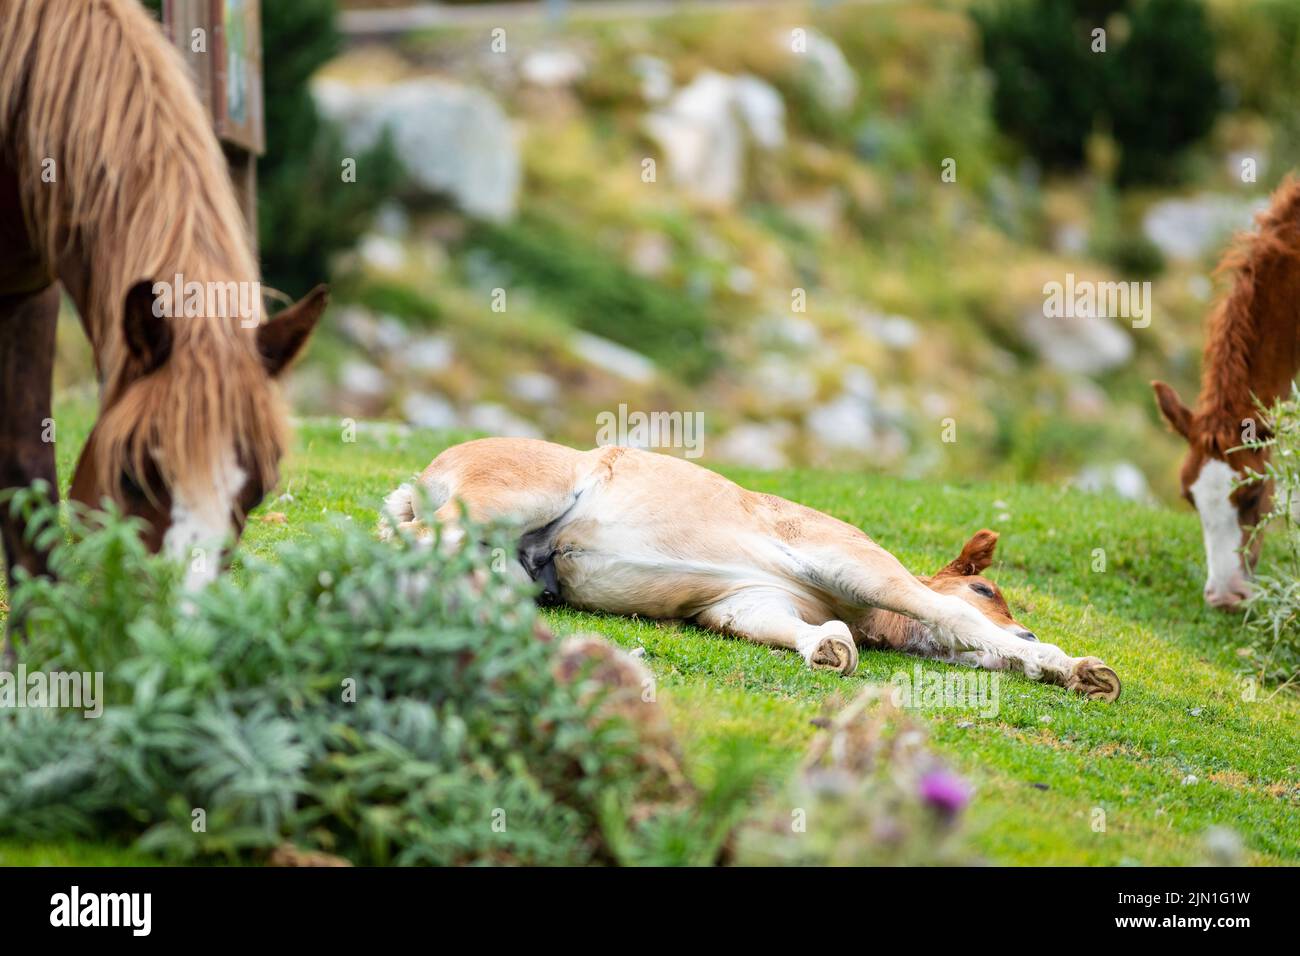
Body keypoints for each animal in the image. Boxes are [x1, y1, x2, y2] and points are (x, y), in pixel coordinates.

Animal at [380, 437, 1122, 700]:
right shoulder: (854, 561)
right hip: (506, 501)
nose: (1026, 635)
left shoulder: (743, 600)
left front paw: (831, 647)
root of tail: (429, 473)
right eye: (986, 585)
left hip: (508, 560)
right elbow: (942, 610)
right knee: (405, 539)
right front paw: (1077, 668)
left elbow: (785, 629)